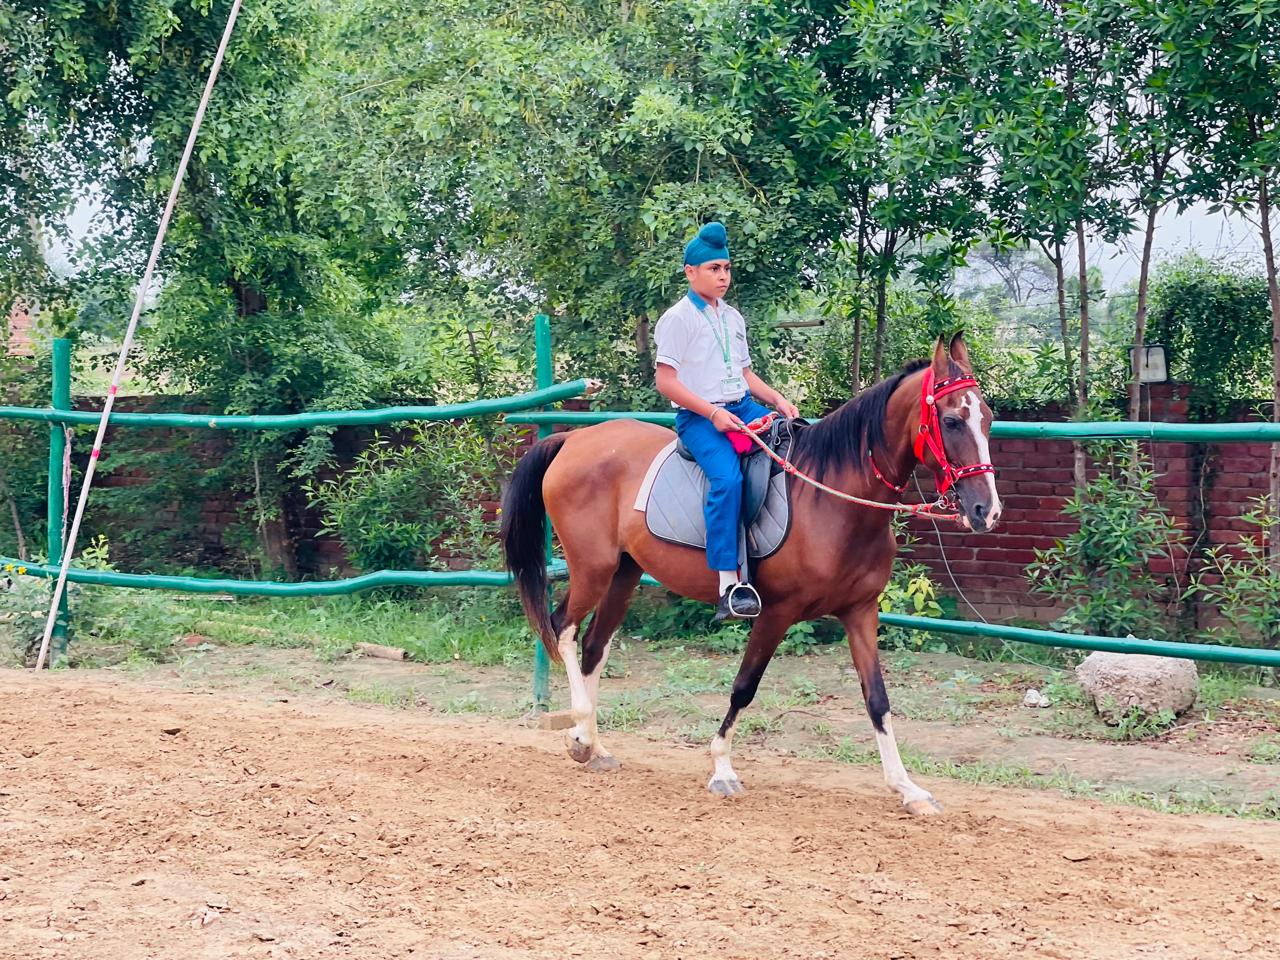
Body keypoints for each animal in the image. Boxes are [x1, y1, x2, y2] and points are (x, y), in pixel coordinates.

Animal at [501, 333, 1001, 815]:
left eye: (990, 419)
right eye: (952, 421)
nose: (987, 511)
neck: (833, 497)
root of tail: (573, 440)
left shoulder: (860, 612)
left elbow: (877, 698)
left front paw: (908, 789)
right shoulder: (776, 612)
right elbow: (744, 686)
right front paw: (722, 768)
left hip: (624, 573)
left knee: (594, 646)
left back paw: (592, 743)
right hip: (593, 567)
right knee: (563, 628)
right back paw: (581, 733)